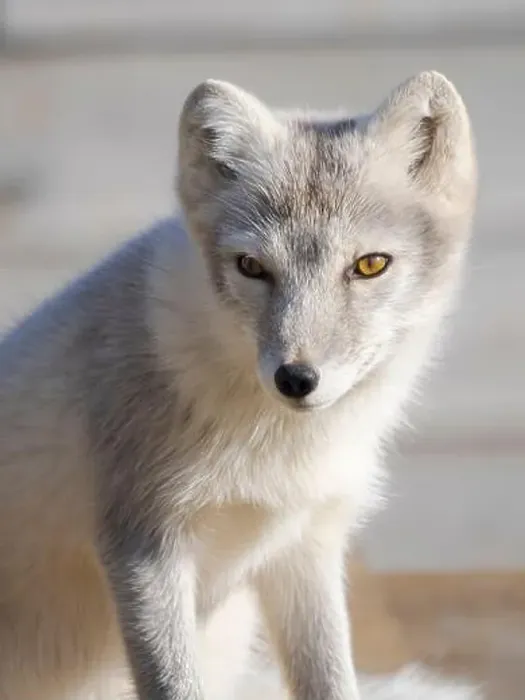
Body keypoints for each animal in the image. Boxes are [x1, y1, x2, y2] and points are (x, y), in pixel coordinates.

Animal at [0, 71, 478, 700]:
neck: (274, 449)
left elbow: (330, 679)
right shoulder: (143, 545)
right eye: (252, 267)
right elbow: (174, 685)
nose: (296, 378)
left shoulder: (305, 546)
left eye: (371, 265)